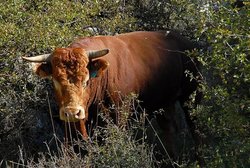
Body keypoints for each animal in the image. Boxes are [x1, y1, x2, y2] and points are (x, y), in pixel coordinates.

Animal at [22, 30, 201, 158]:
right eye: (56, 82)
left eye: (86, 81)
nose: (72, 112)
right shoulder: (72, 126)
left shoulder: (120, 116)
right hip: (165, 102)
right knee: (168, 127)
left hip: (192, 97)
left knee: (195, 129)